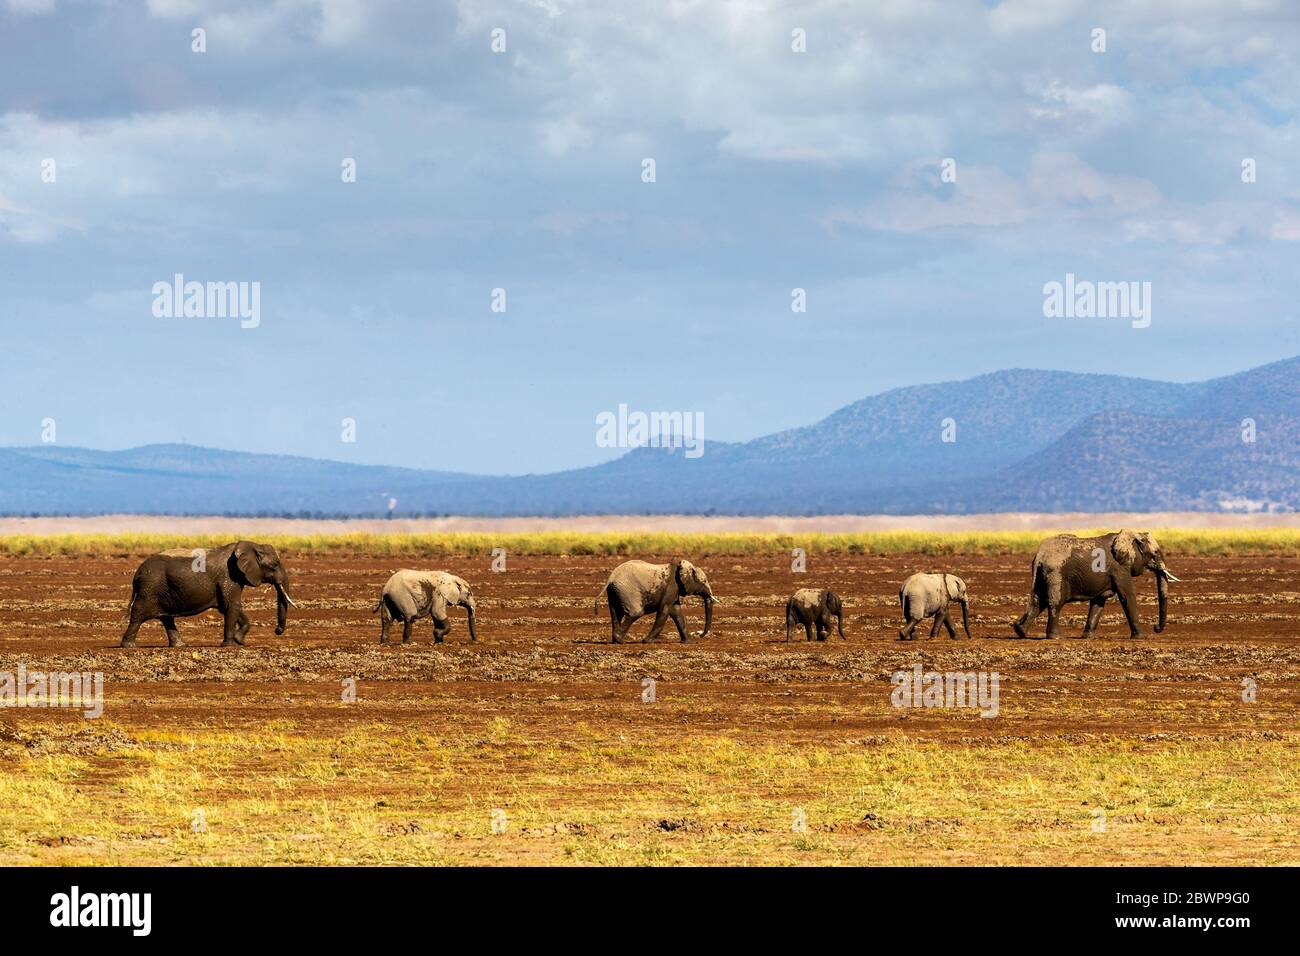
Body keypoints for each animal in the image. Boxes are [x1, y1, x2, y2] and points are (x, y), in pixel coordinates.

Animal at [1008, 530, 1185, 642]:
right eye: (1155, 553)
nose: (1156, 628)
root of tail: (1039, 556)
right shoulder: (1119, 568)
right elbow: (1127, 596)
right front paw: (1141, 638)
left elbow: (1099, 601)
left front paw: (1088, 637)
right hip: (1055, 573)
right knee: (1055, 603)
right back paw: (1056, 637)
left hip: (1042, 574)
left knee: (1038, 602)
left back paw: (1020, 631)